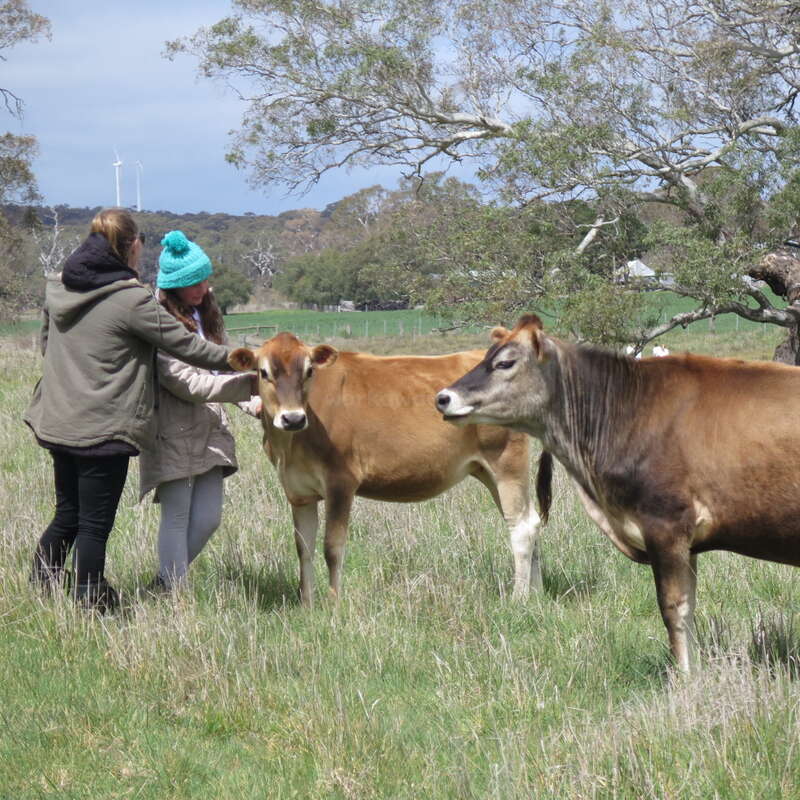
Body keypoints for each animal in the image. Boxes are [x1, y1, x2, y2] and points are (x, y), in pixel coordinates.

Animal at [228, 332, 550, 607]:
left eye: (309, 371)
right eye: (264, 372)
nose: (292, 418)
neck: (291, 444)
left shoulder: (340, 482)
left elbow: (332, 547)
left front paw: (334, 606)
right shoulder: (298, 492)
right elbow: (303, 547)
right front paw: (307, 605)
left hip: (506, 462)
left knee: (521, 526)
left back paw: (519, 598)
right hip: (488, 471)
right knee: (531, 521)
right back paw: (537, 594)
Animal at [436, 313, 800, 672]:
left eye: (505, 362)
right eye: (485, 356)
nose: (442, 397)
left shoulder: (665, 525)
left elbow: (674, 608)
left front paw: (682, 678)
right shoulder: (688, 541)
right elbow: (690, 607)